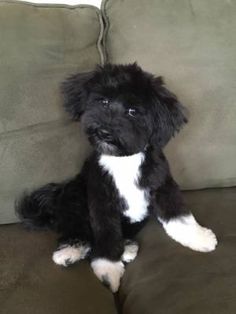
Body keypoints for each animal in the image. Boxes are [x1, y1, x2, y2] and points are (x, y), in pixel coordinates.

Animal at [15, 62, 217, 294]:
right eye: (103, 101)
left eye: (133, 111)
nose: (104, 132)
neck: (123, 160)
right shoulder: (102, 199)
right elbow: (107, 234)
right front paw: (108, 270)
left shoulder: (162, 185)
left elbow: (180, 217)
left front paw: (199, 238)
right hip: (75, 195)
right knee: (77, 228)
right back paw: (71, 251)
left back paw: (127, 247)